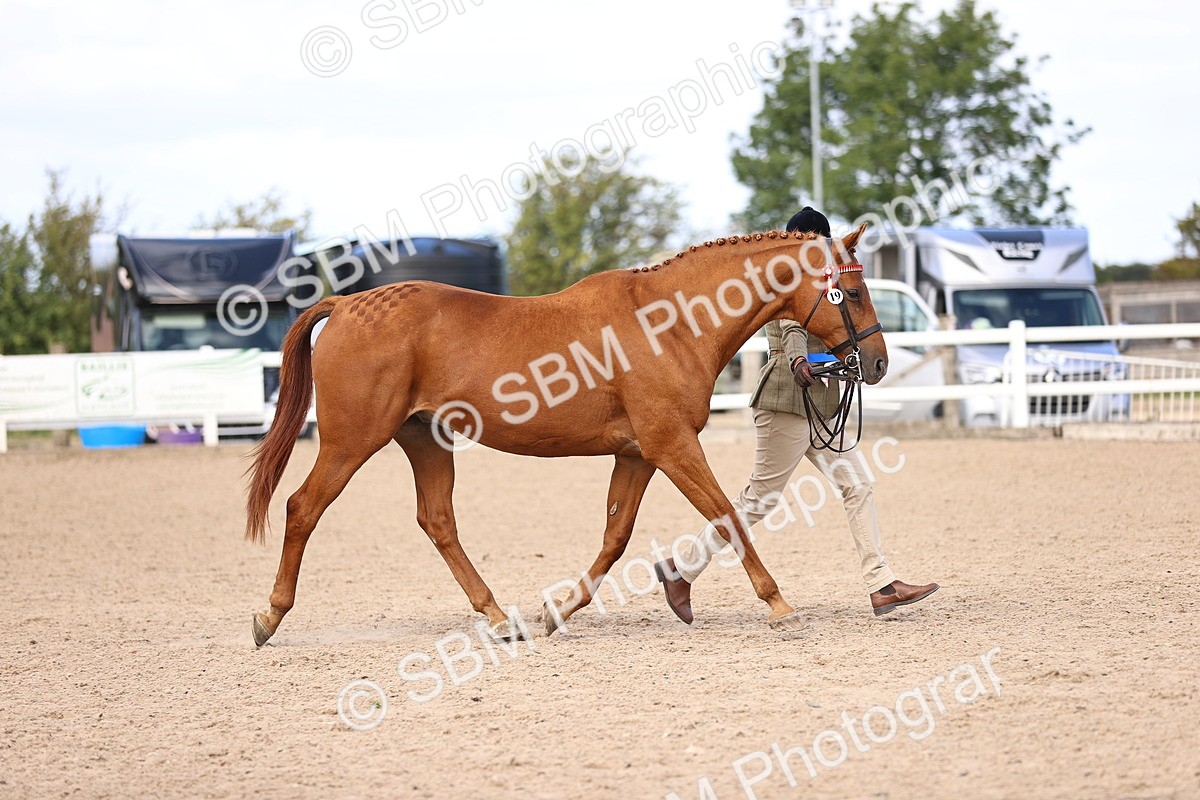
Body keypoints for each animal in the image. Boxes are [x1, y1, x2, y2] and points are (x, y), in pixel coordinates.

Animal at [245, 222, 886, 646]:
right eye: (853, 292)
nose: (876, 363)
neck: (669, 322)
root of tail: (346, 304)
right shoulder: (671, 444)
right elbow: (726, 514)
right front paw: (779, 604)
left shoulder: (639, 454)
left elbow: (616, 536)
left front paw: (557, 612)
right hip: (352, 442)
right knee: (303, 507)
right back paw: (269, 616)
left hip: (425, 439)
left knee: (438, 521)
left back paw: (500, 618)